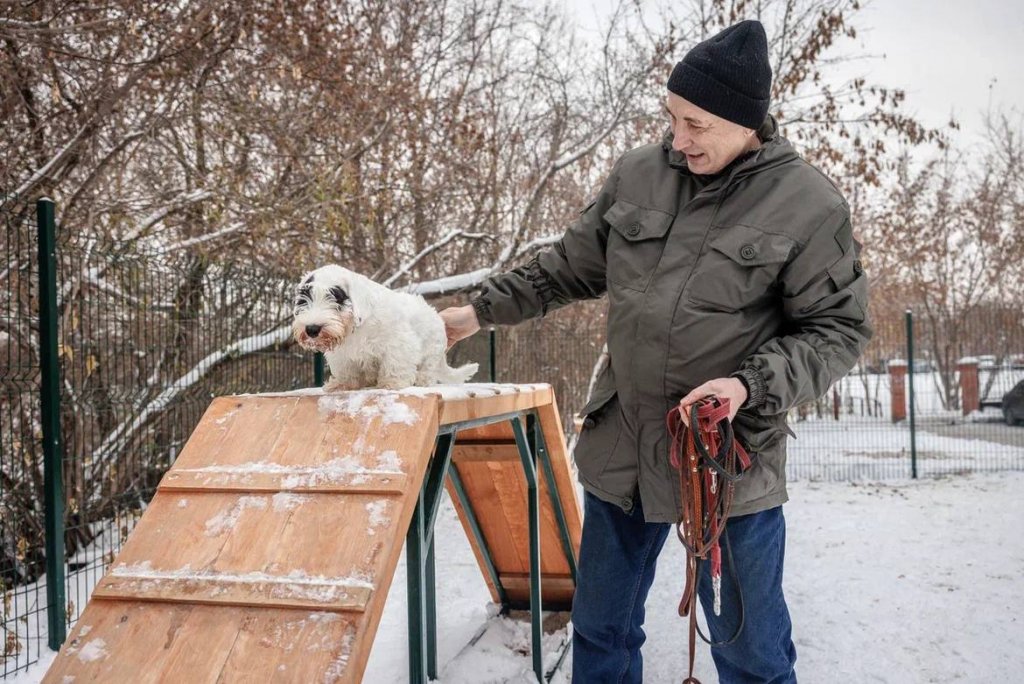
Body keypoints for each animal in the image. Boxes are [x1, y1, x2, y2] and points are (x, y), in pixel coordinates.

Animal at [290, 264, 477, 389]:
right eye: (303, 300)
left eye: (336, 298)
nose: (312, 329)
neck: (356, 327)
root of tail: (436, 317)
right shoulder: (343, 354)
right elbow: (347, 370)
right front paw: (342, 384)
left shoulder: (399, 343)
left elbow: (395, 363)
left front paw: (391, 383)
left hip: (431, 352)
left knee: (427, 369)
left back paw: (421, 380)